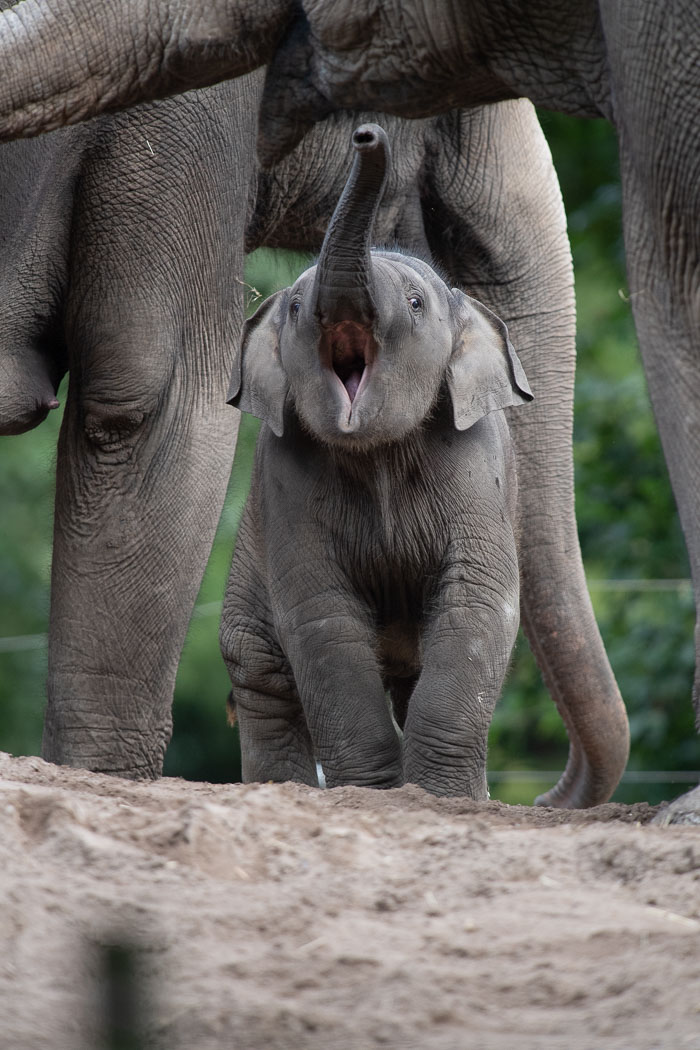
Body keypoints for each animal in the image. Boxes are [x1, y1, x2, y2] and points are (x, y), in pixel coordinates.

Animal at [221, 122, 533, 793]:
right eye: (293, 308)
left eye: (415, 303)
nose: (366, 133)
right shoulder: (285, 475)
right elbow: (321, 616)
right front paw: (376, 792)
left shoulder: (477, 465)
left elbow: (476, 600)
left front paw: (437, 796)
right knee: (259, 668)